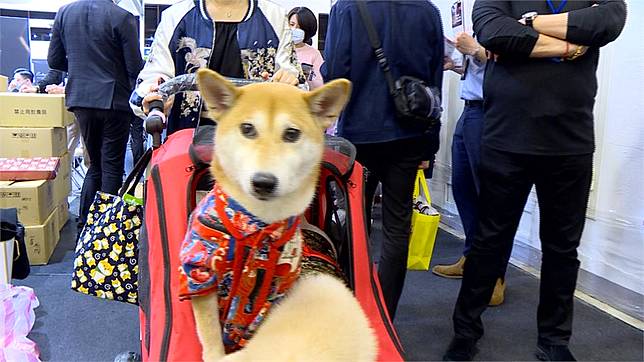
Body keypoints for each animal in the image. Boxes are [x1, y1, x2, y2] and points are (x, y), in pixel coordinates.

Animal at [181, 68, 378, 362]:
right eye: (247, 129)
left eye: (292, 134)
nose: (263, 182)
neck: (257, 224)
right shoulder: (200, 276)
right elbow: (210, 331)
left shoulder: (272, 290)